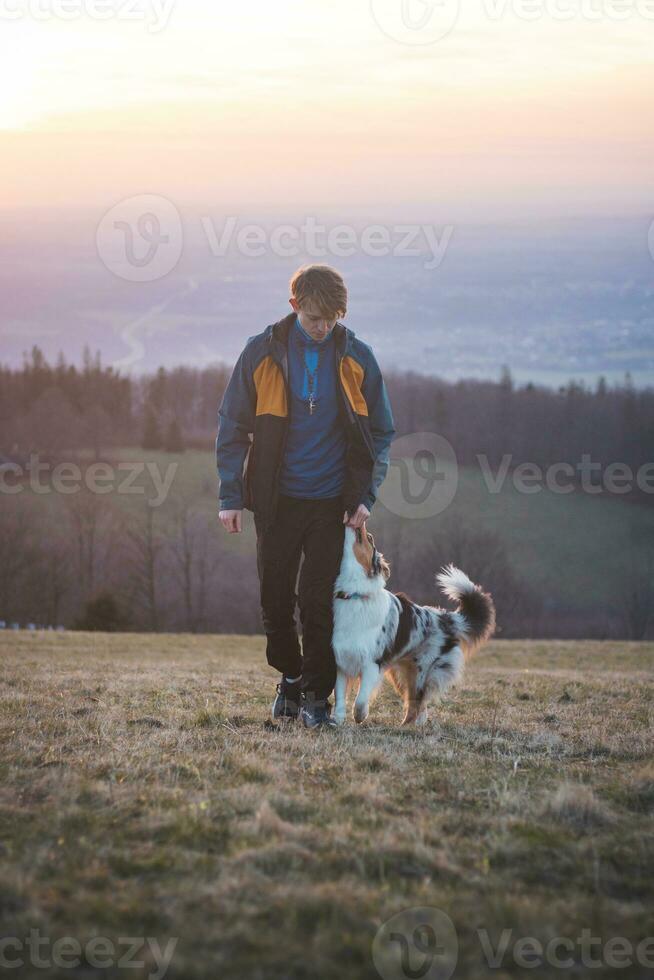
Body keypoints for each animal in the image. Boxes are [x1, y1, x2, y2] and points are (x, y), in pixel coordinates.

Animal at [334, 524, 498, 724]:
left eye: (370, 539)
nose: (361, 526)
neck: (355, 594)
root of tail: (446, 619)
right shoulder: (341, 660)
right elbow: (339, 697)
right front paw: (336, 721)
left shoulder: (372, 663)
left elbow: (360, 700)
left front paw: (360, 716)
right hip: (402, 673)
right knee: (419, 705)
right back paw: (417, 724)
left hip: (422, 670)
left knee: (416, 703)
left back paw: (405, 726)